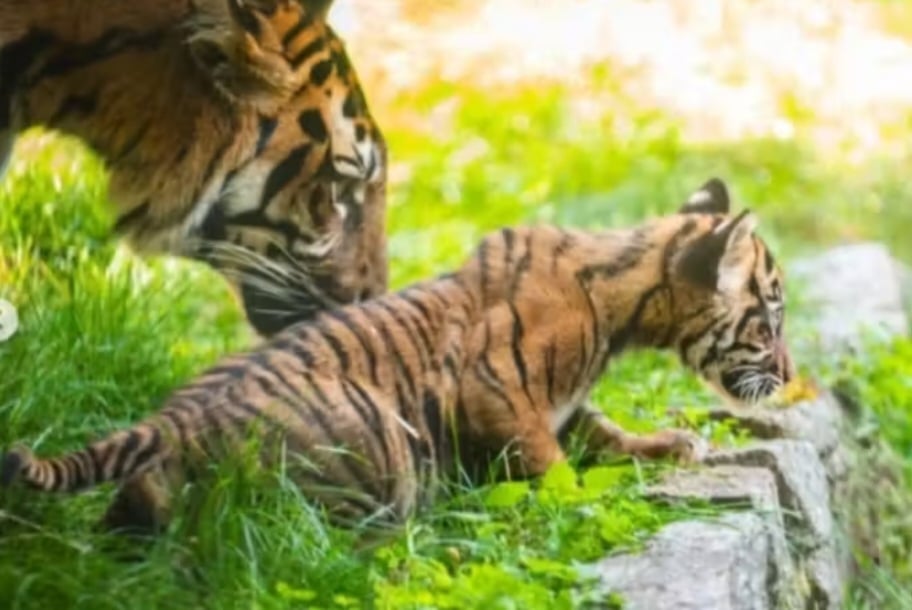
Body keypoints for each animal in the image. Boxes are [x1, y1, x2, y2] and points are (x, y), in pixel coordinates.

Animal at [0, 178, 794, 533]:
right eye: (770, 321)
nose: (791, 377)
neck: (625, 302)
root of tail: (174, 418)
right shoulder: (494, 385)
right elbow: (551, 459)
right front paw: (580, 502)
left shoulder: (562, 401)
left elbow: (599, 427)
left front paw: (665, 444)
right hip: (374, 433)